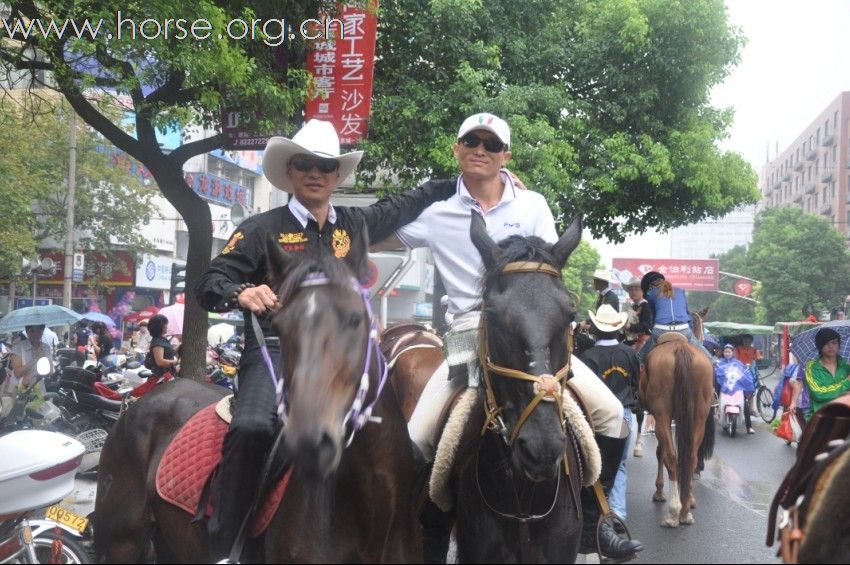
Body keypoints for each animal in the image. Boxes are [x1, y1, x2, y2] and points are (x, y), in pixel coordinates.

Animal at [640, 332, 712, 528]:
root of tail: (680, 348)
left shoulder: (656, 416)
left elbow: (661, 453)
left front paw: (659, 492)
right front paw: (689, 498)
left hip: (662, 416)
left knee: (671, 456)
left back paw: (674, 512)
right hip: (699, 418)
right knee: (691, 457)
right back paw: (685, 510)